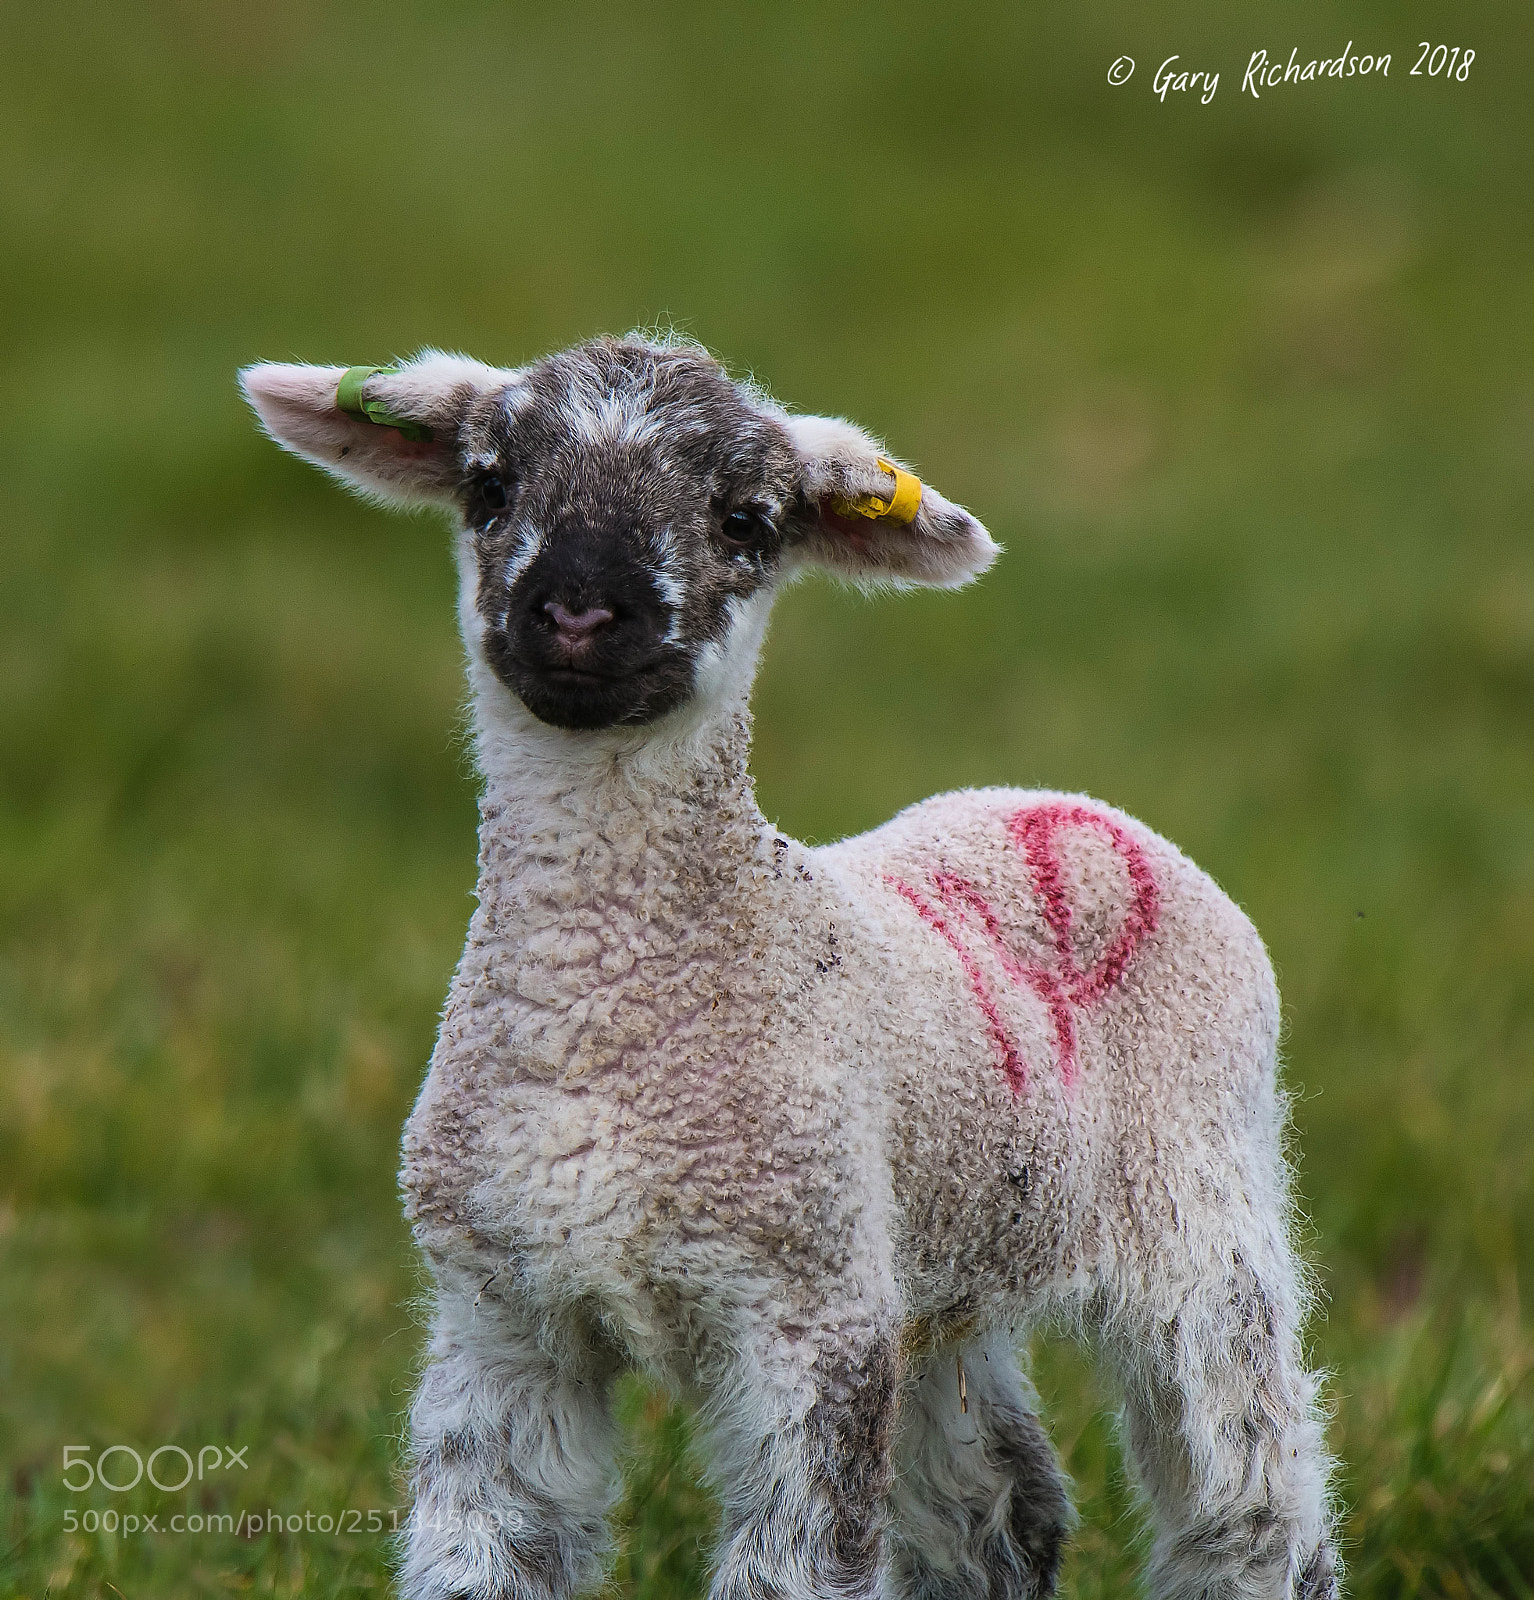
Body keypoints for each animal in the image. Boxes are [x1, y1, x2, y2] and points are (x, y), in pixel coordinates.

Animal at [241, 334, 1339, 1600]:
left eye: (746, 519)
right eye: (488, 488)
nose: (576, 607)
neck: (603, 1031)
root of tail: (1062, 802)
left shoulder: (809, 1324)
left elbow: (796, 1566)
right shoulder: (502, 1318)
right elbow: (483, 1553)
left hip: (1201, 1212)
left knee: (1255, 1493)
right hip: (933, 1263)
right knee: (997, 1505)